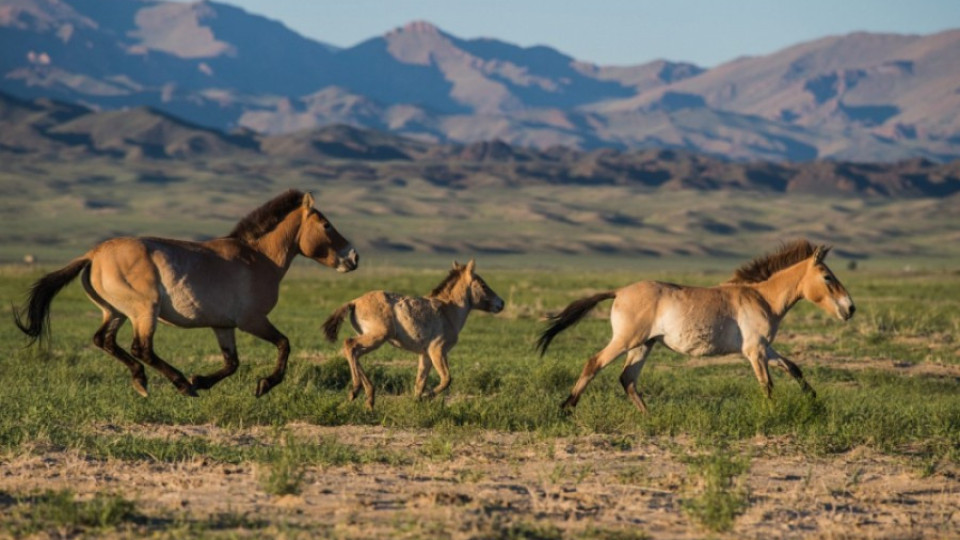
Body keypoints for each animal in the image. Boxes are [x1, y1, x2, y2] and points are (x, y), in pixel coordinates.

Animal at [14, 189, 360, 396]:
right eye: (327, 225)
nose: (354, 257)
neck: (257, 258)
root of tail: (92, 255)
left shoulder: (223, 325)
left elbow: (232, 363)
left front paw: (202, 380)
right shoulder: (252, 320)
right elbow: (284, 344)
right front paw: (264, 385)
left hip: (115, 312)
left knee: (105, 341)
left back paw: (144, 382)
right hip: (144, 311)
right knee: (141, 348)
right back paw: (178, 384)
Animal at [320, 260, 502, 410]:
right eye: (483, 285)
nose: (501, 303)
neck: (447, 310)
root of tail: (354, 302)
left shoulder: (425, 355)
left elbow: (420, 383)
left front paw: (416, 404)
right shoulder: (437, 350)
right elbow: (446, 379)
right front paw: (427, 397)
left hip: (372, 340)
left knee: (355, 353)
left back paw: (369, 400)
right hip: (376, 338)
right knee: (349, 344)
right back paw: (355, 391)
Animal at [536, 240, 860, 414]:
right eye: (828, 277)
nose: (850, 308)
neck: (761, 298)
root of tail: (619, 291)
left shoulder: (764, 348)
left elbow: (794, 368)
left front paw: (815, 403)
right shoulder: (754, 351)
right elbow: (767, 384)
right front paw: (773, 414)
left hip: (644, 345)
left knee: (627, 379)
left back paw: (650, 417)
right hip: (627, 340)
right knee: (594, 363)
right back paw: (567, 408)